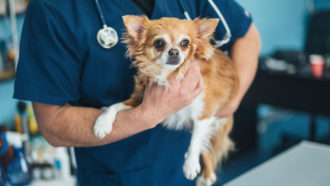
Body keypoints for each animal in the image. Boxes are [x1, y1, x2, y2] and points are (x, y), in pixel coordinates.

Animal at [94, 16, 238, 186]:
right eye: (159, 43)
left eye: (185, 43)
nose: (174, 51)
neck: (168, 74)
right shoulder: (138, 102)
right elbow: (114, 106)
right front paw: (102, 123)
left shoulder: (204, 114)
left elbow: (195, 141)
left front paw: (190, 165)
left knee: (208, 149)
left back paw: (207, 176)